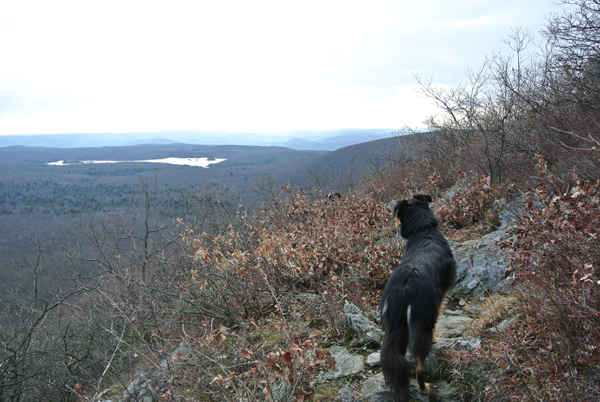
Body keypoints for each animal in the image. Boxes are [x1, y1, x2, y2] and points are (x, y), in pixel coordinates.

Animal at [378, 196, 458, 396]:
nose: (394, 222)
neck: (424, 231)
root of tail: (403, 288)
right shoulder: (438, 298)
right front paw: (436, 337)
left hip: (395, 325)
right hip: (421, 321)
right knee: (420, 363)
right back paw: (423, 388)